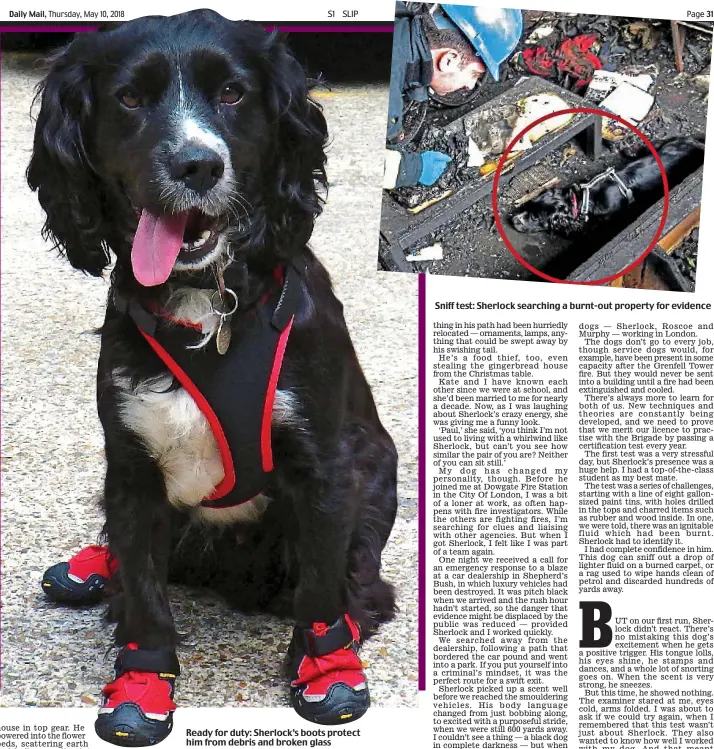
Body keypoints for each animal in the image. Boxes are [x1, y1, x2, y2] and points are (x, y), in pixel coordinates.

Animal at [26, 10, 394, 744]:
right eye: (129, 99)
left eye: (231, 93)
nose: (196, 164)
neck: (208, 298)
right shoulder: (131, 468)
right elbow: (142, 591)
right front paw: (142, 684)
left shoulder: (325, 463)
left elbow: (320, 583)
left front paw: (324, 671)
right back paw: (90, 569)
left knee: (361, 580)